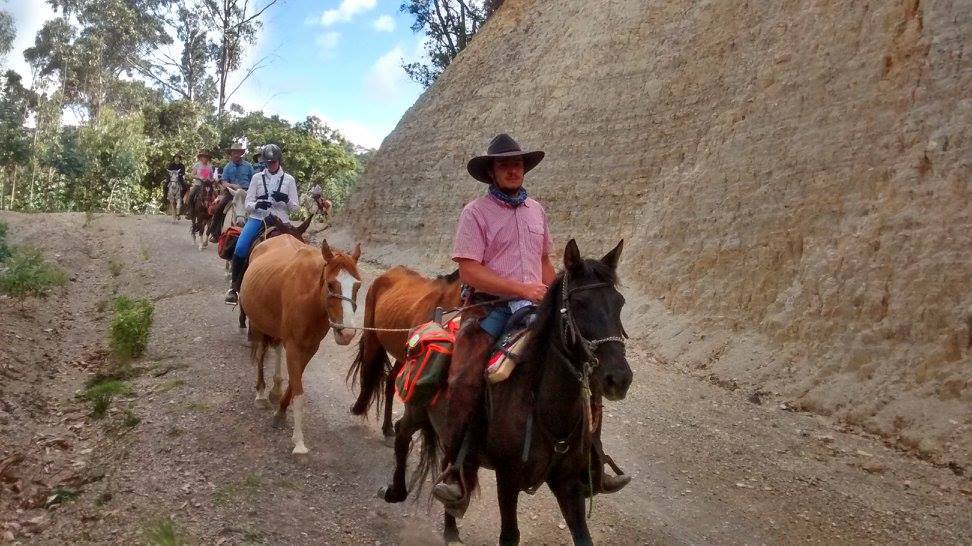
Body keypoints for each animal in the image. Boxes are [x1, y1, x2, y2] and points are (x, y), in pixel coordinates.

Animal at [241, 234, 362, 450]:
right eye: (331, 285)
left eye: (358, 286)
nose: (347, 333)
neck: (310, 297)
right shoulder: (294, 346)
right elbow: (299, 393)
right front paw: (299, 442)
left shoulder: (309, 348)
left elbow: (294, 384)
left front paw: (281, 411)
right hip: (258, 323)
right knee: (262, 353)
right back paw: (261, 393)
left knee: (276, 348)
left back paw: (275, 389)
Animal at [348, 266, 462, 438]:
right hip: (372, 338)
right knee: (368, 370)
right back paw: (359, 408)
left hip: (402, 356)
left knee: (390, 381)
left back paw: (388, 426)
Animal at [372, 240, 632, 544]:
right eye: (579, 304)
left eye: (619, 303)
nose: (619, 379)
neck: (541, 406)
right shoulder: (508, 479)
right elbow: (510, 535)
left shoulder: (568, 484)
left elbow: (583, 536)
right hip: (419, 410)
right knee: (403, 433)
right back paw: (395, 490)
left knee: (454, 466)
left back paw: (451, 526)